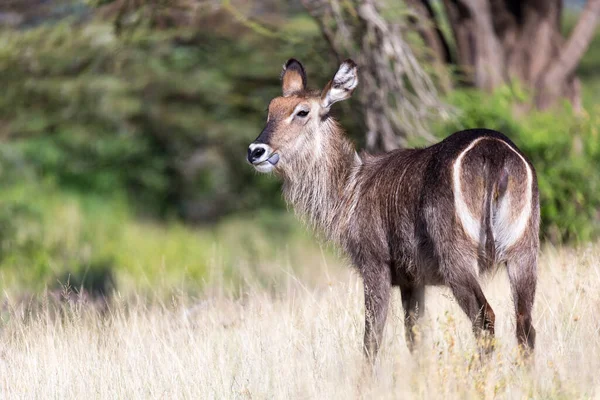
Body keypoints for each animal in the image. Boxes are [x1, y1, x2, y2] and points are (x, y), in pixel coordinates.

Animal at [246, 57, 540, 360]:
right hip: (523, 251)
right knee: (525, 325)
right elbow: (415, 338)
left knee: (485, 320)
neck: (351, 187)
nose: (255, 151)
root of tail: (494, 153)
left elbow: (371, 339)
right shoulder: (413, 280)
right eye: (270, 109)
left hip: (458, 259)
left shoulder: (375, 265)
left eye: (302, 111)